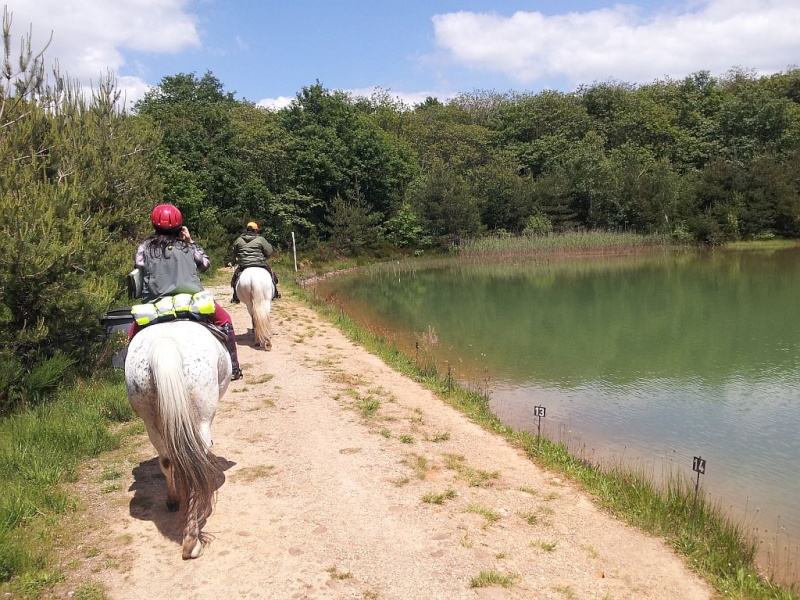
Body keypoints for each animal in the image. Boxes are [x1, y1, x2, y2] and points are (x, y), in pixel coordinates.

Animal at [125, 322, 231, 560]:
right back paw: (192, 540)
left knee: (167, 459)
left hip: (150, 420)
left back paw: (173, 501)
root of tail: (163, 343)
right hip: (202, 415)